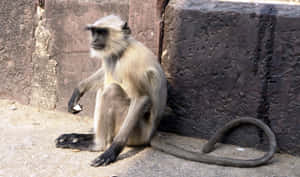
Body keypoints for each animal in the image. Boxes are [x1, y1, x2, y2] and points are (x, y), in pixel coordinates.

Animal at [55, 14, 276, 167]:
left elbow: (141, 99)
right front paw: (78, 90)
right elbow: (103, 72)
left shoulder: (130, 64)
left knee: (111, 91)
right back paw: (82, 137)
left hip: (137, 131)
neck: (123, 49)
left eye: (101, 32)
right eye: (93, 31)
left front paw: (113, 151)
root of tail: (151, 134)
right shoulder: (111, 57)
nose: (93, 40)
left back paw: (98, 145)